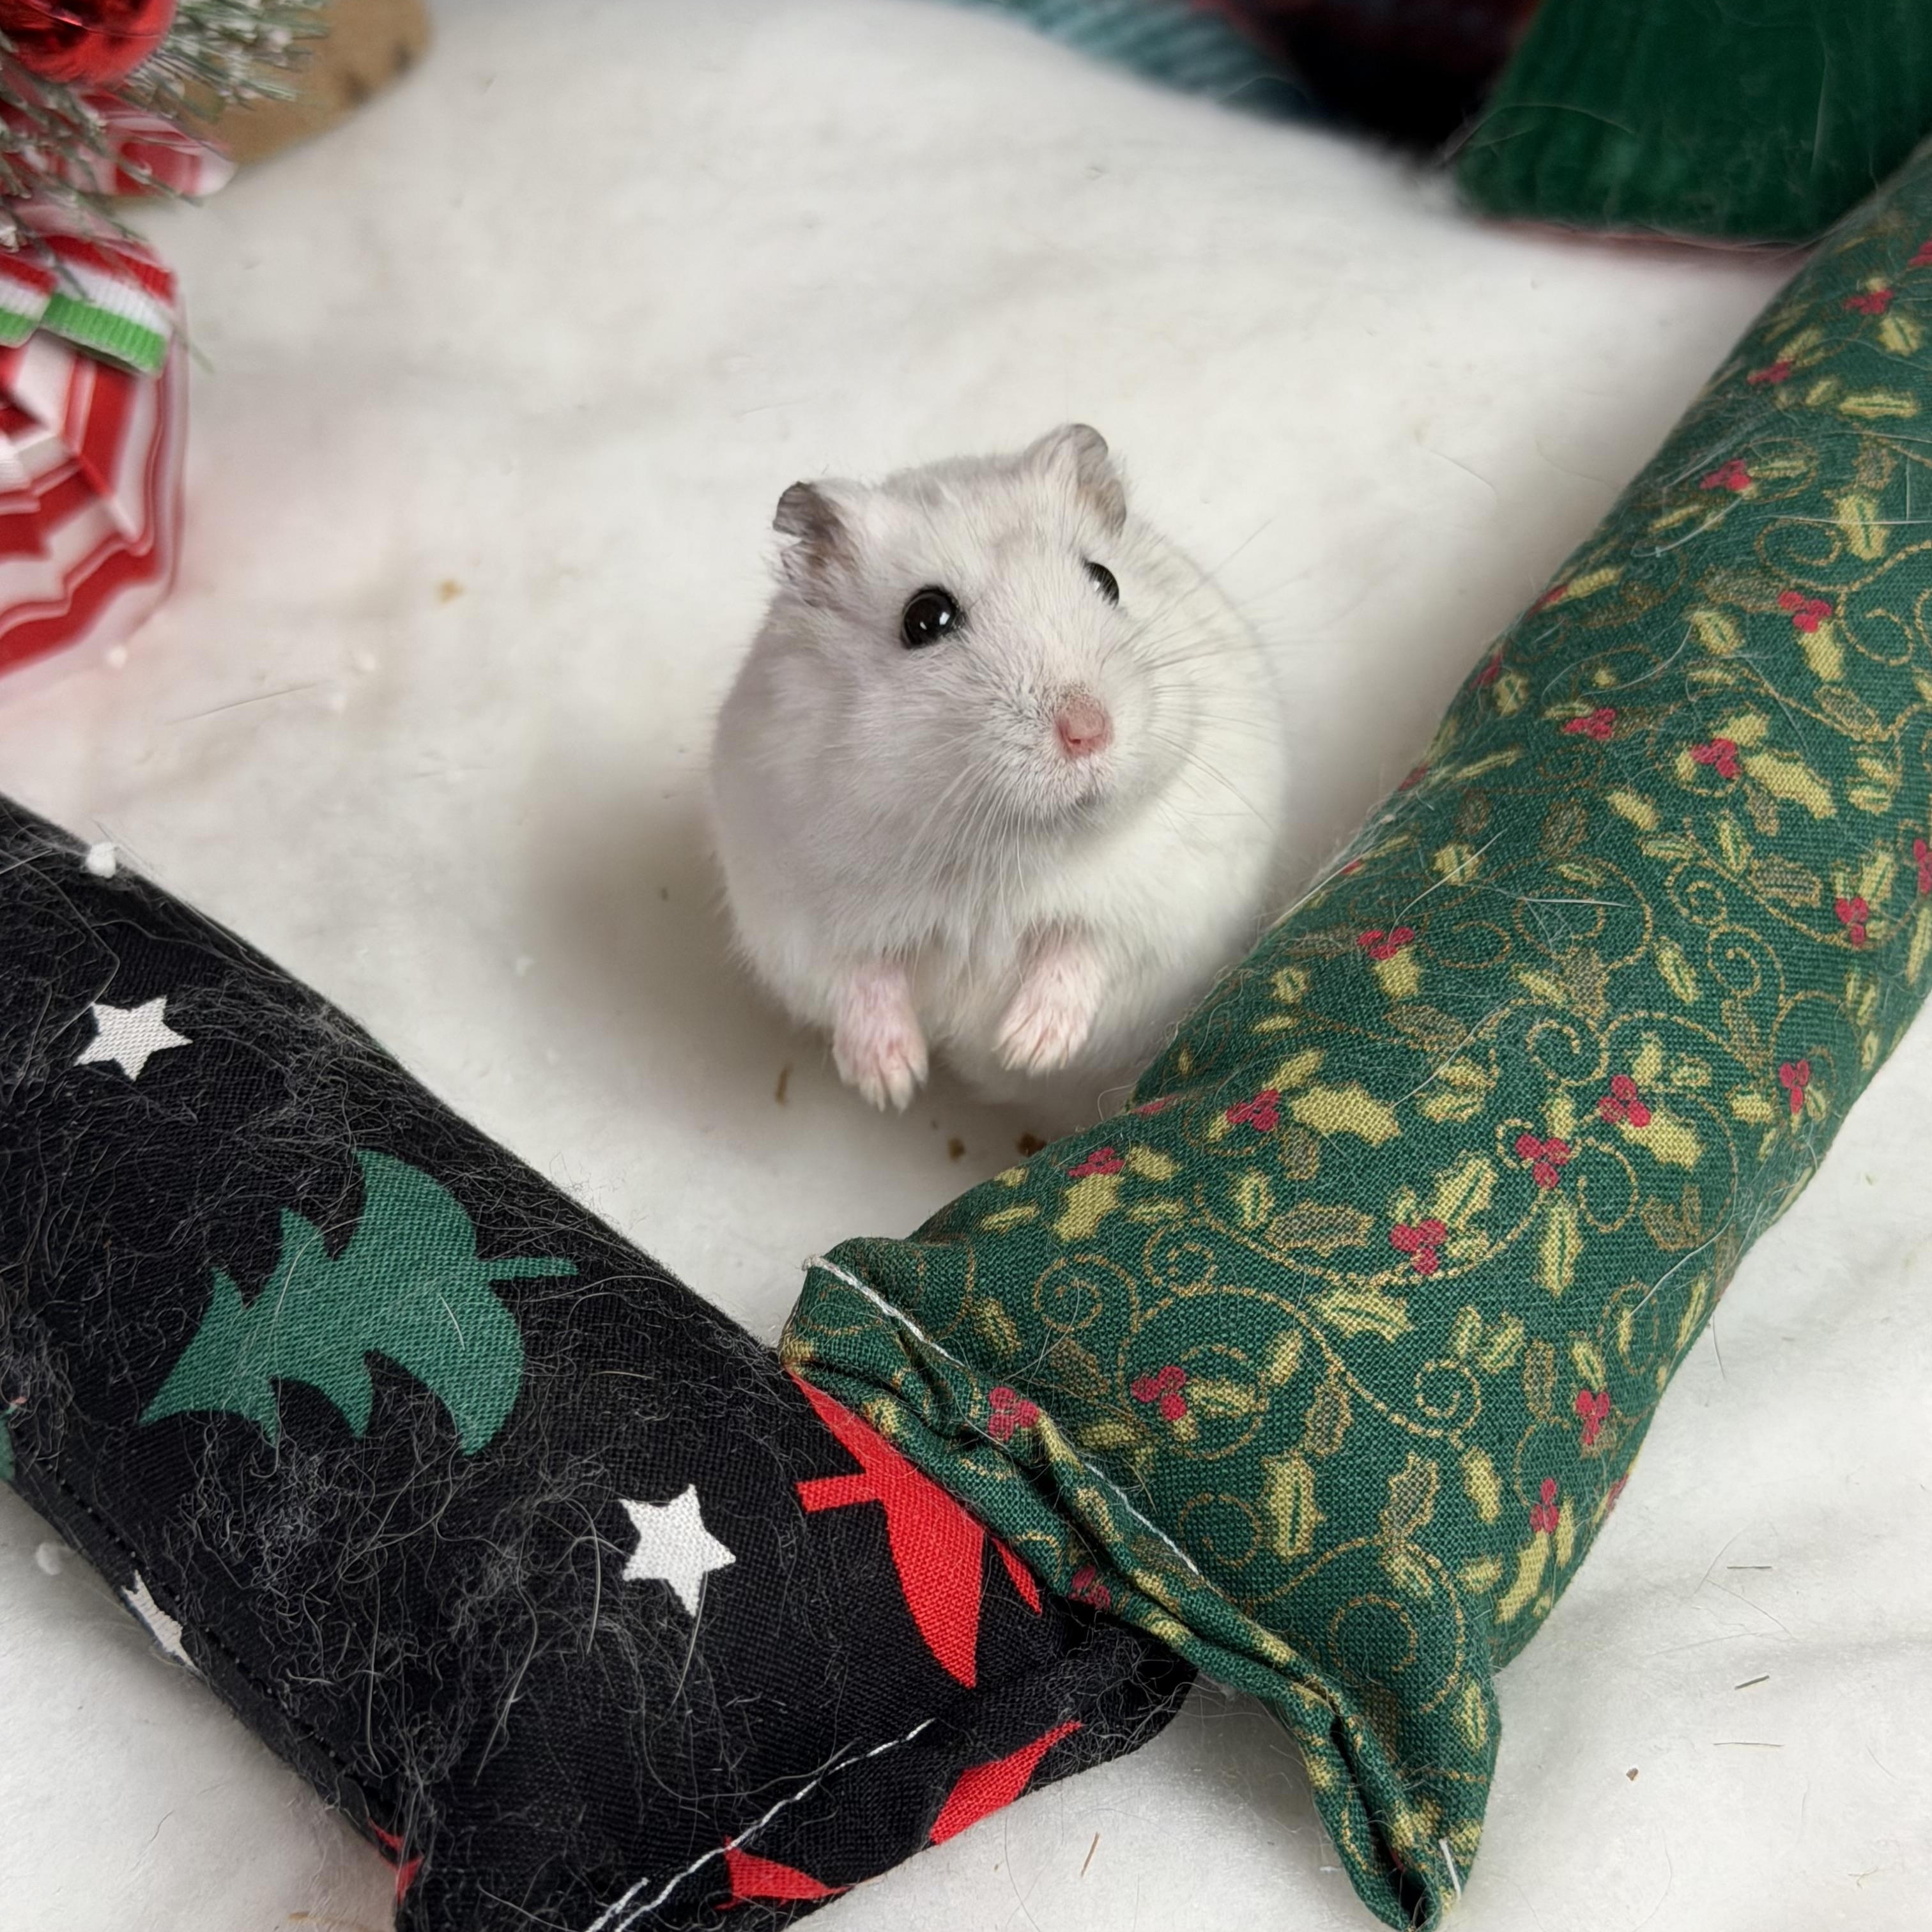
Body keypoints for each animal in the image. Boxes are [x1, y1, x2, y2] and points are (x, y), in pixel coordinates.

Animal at [708, 424, 1291, 1114]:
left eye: (1106, 579)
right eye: (925, 618)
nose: (1089, 731)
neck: (1005, 850)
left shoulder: (1163, 905)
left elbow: (1083, 950)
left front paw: (1026, 1048)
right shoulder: (801, 920)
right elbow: (861, 980)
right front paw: (892, 1082)